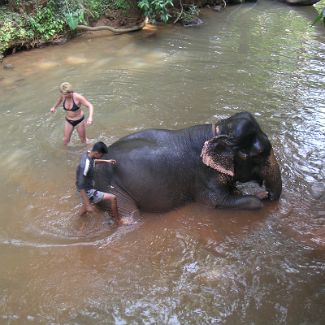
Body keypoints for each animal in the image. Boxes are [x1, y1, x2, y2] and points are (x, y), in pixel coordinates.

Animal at [94, 111, 280, 218]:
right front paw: (260, 198)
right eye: (257, 155)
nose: (269, 194)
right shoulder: (204, 175)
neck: (216, 131)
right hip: (109, 187)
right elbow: (215, 202)